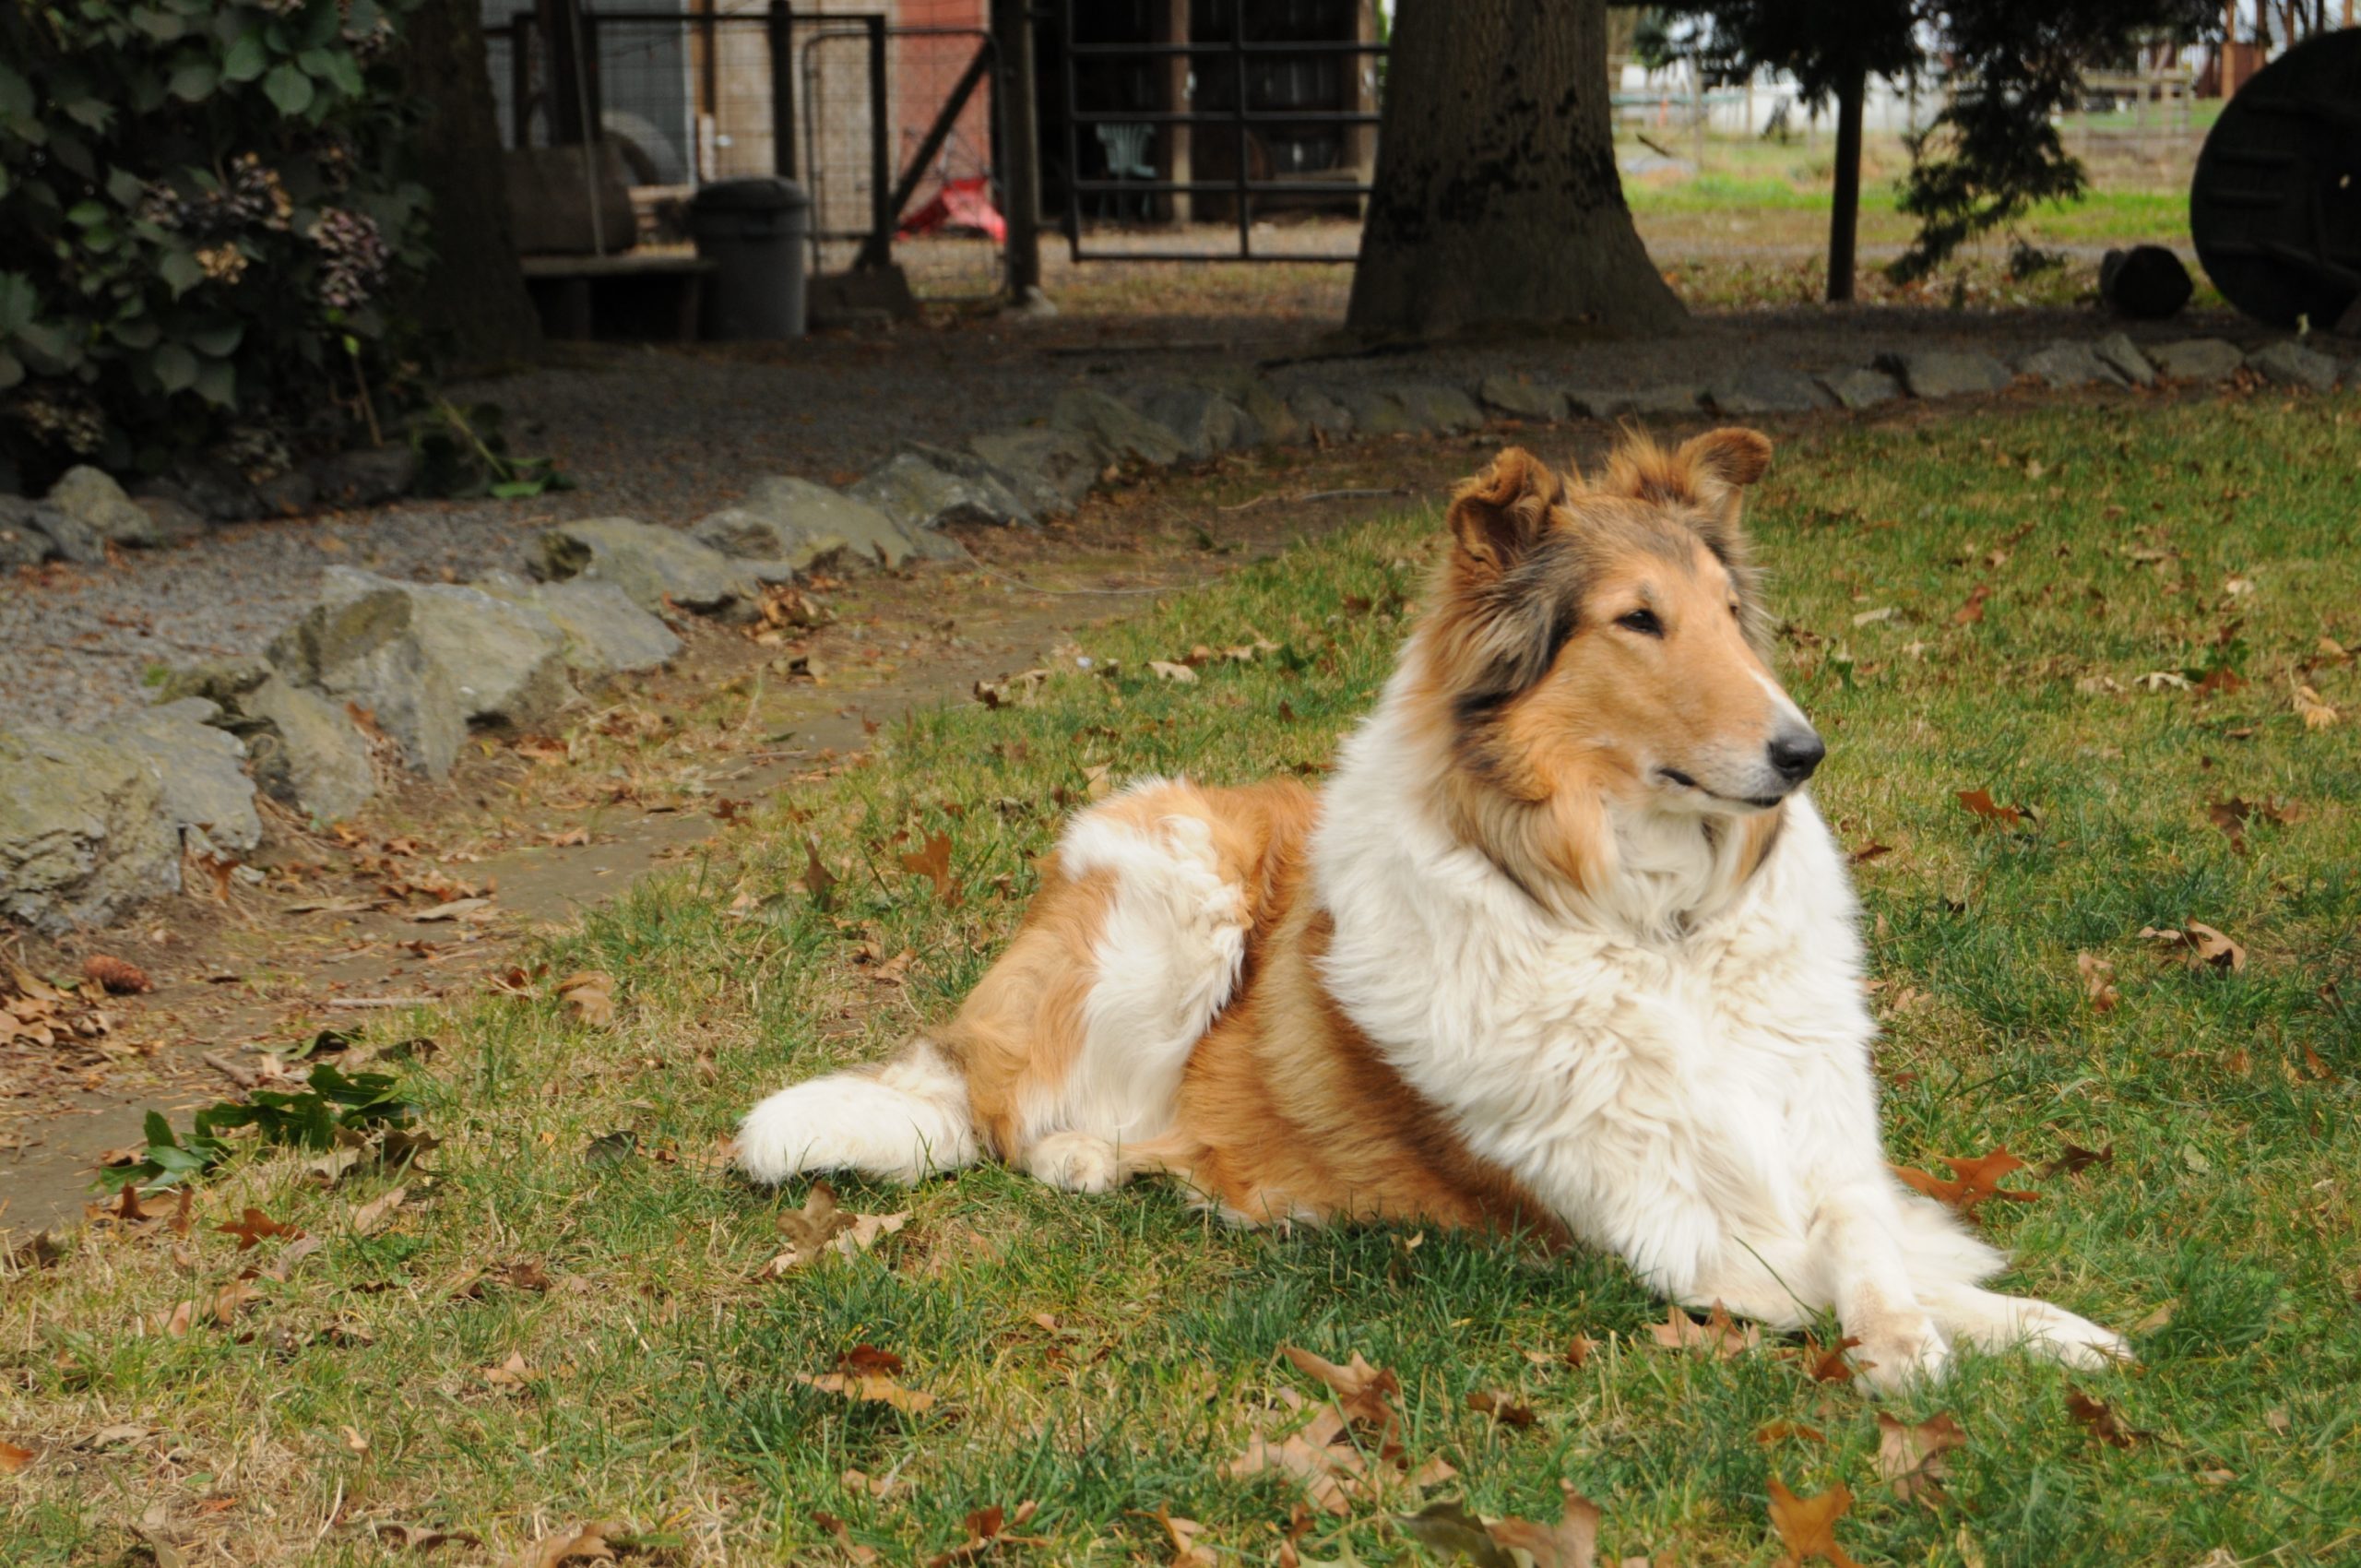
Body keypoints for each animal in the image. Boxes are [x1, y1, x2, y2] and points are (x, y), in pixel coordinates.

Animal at [736, 424, 2125, 1388]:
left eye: (1734, 616)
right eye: (1638, 621)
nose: (1803, 752)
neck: (1652, 933)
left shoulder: (1818, 1134)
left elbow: (1874, 1238)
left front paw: (2039, 1326)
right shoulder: (1656, 1229)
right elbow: (1824, 1268)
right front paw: (1921, 1342)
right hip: (1174, 891)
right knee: (1014, 1113)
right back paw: (1108, 1154)